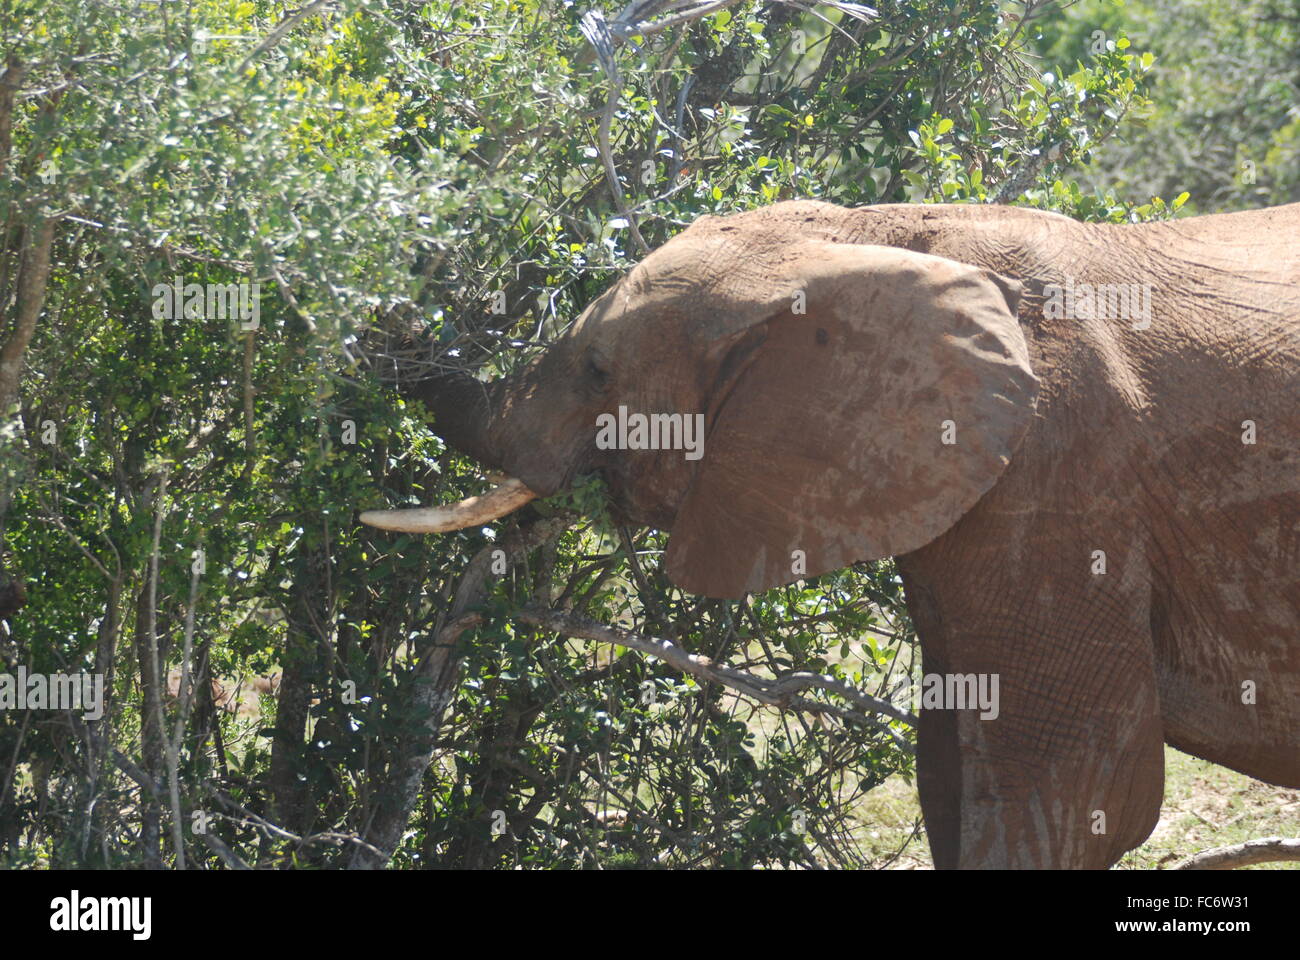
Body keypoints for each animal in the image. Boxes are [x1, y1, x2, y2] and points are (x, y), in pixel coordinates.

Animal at [364, 200, 1300, 868]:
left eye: (598, 371)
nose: (384, 320)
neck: (875, 235)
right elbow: (950, 771)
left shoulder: (1064, 478)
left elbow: (1070, 789)